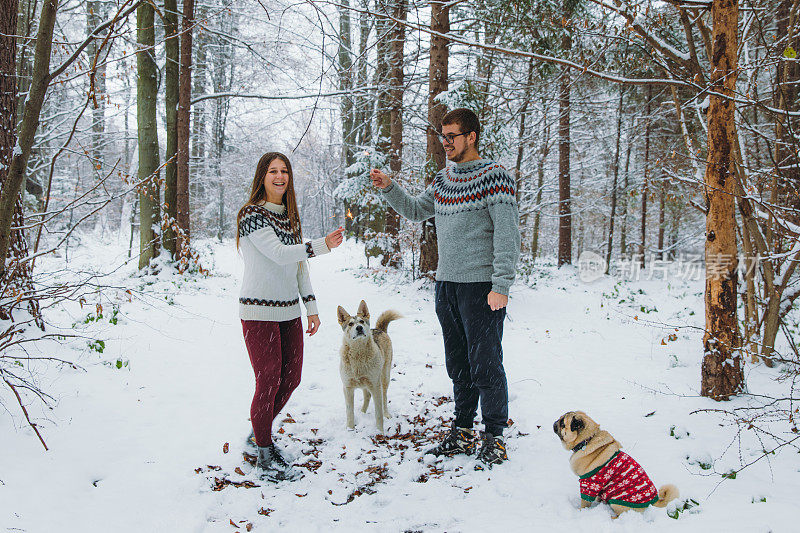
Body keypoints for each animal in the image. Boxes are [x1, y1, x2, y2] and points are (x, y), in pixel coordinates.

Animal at [336, 300, 400, 432]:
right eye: (350, 324)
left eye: (362, 321)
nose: (359, 328)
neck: (358, 354)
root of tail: (379, 329)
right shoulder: (347, 387)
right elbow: (349, 413)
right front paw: (350, 430)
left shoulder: (375, 386)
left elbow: (378, 414)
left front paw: (380, 432)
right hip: (366, 383)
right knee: (367, 395)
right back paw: (362, 412)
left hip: (384, 378)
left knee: (384, 398)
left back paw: (386, 414)